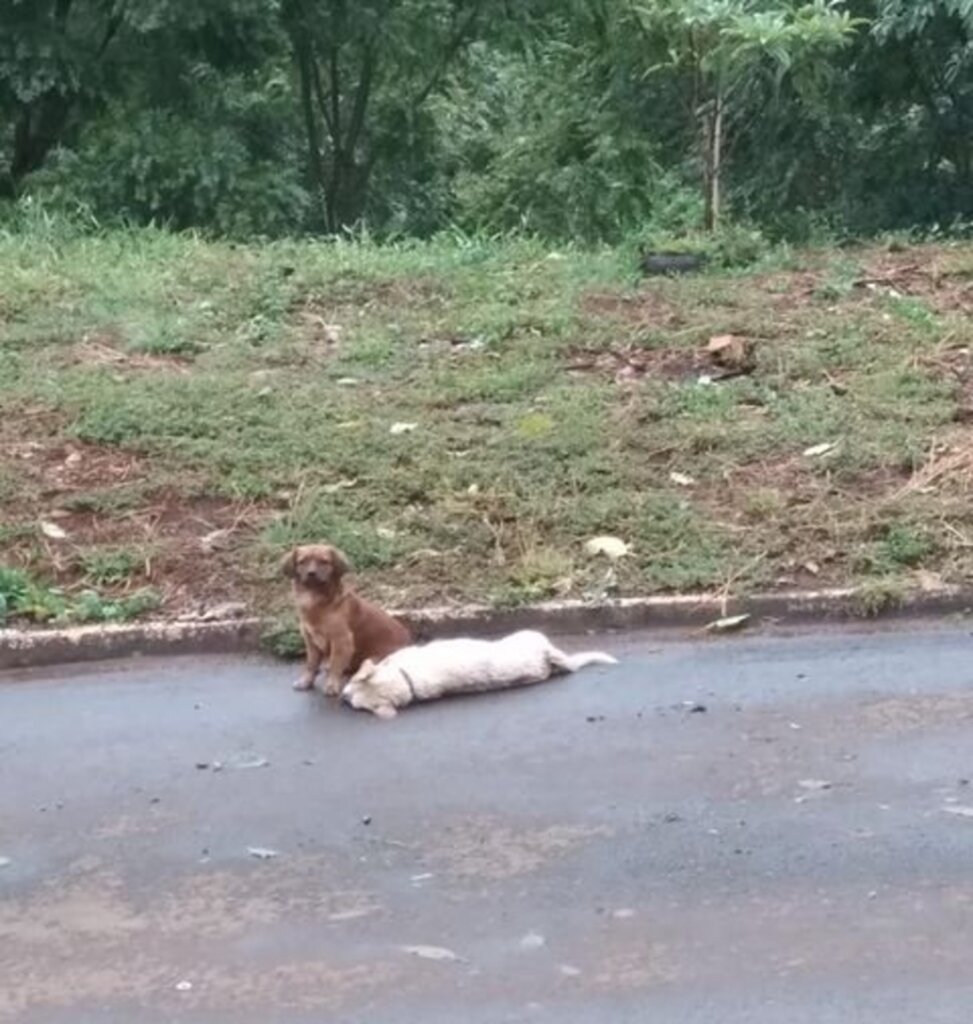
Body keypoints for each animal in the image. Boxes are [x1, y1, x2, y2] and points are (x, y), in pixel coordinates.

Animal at [284, 544, 415, 696]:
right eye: (302, 562)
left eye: (324, 562)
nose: (312, 573)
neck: (316, 601)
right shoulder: (311, 641)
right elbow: (311, 664)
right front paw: (306, 681)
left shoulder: (342, 640)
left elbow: (335, 665)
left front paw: (332, 685)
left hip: (374, 658)